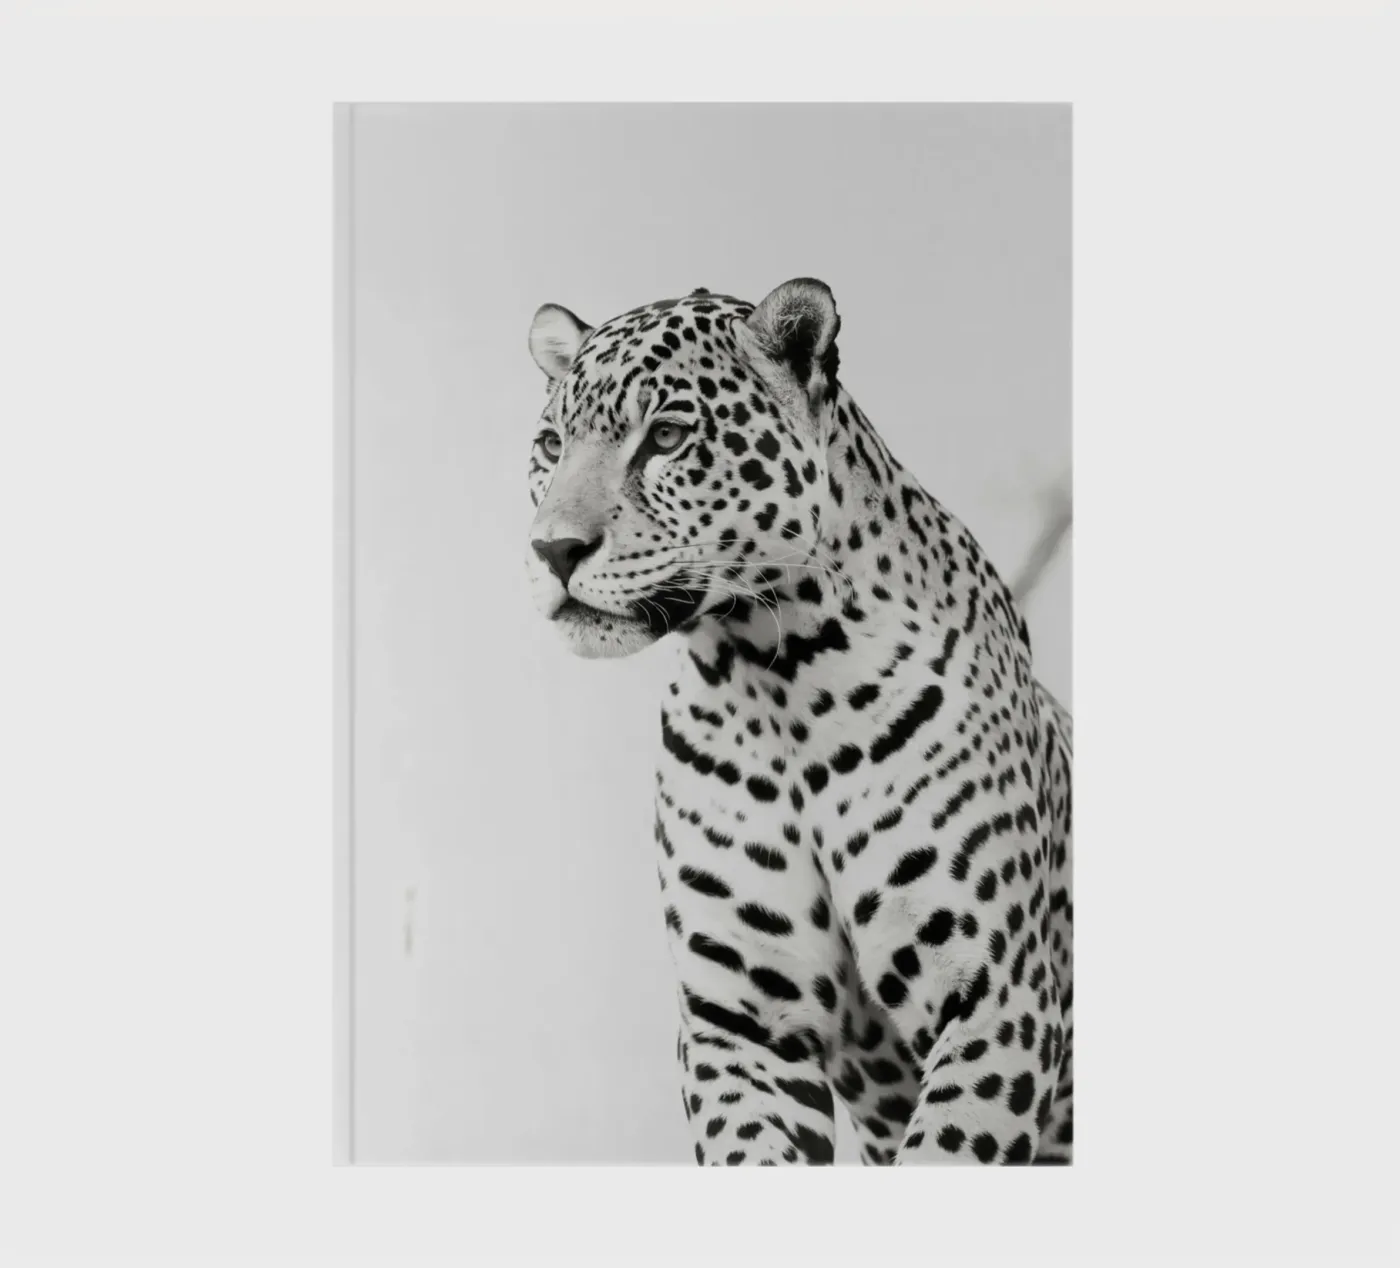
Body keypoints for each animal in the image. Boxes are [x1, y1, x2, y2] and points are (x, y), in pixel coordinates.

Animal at [523, 279, 1072, 1165]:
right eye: (548, 444)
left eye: (666, 436)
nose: (552, 550)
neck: (774, 680)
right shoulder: (742, 1021)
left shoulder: (996, 997)